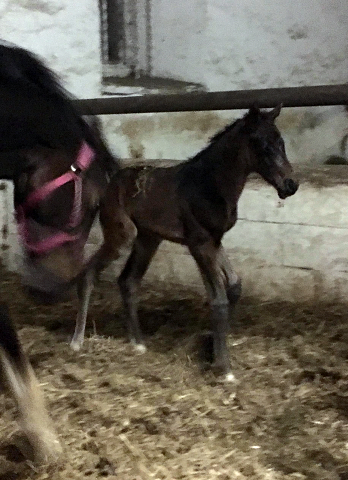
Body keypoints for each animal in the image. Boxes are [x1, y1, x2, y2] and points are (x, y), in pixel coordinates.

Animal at [73, 106, 300, 382]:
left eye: (281, 142)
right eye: (263, 145)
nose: (291, 185)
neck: (208, 184)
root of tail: (108, 184)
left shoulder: (214, 240)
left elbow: (233, 287)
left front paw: (214, 350)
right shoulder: (199, 243)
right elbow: (219, 299)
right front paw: (225, 369)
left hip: (149, 238)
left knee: (128, 281)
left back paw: (138, 343)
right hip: (121, 236)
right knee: (88, 274)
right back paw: (77, 342)